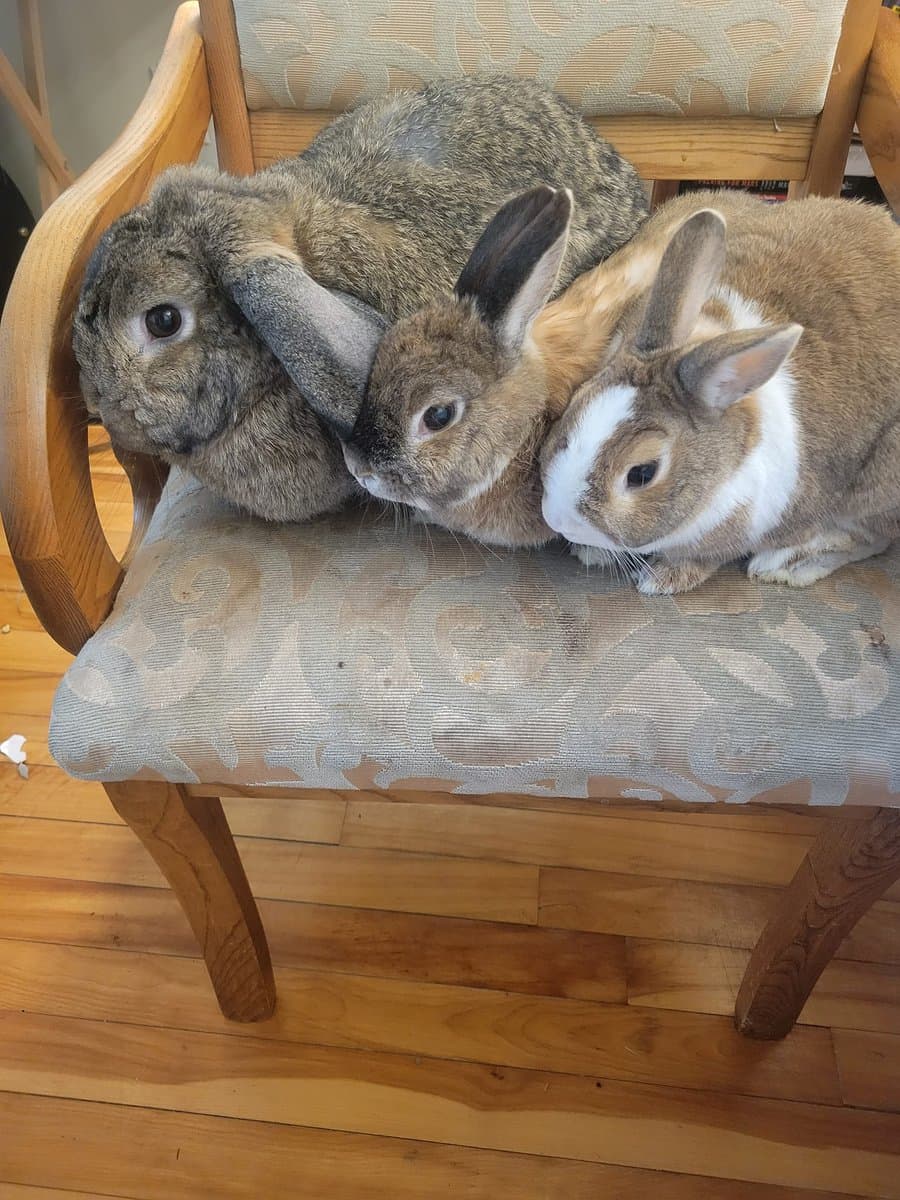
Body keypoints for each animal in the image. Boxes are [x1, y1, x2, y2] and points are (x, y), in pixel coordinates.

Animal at [540, 189, 900, 593]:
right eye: (573, 407)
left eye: (642, 473)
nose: (560, 523)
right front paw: (595, 552)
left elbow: (705, 558)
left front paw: (661, 579)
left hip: (878, 485)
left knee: (873, 538)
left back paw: (785, 565)